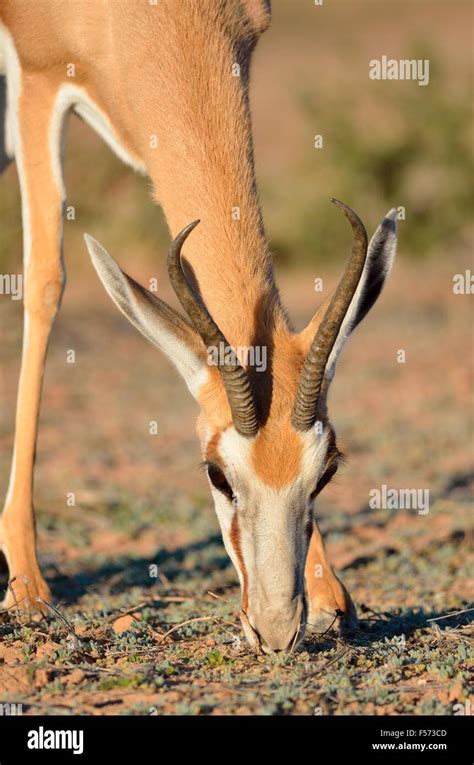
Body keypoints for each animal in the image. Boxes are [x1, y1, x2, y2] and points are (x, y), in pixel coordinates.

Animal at [0, 2, 396, 652]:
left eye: (327, 472)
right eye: (215, 474)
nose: (275, 629)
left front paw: (332, 600)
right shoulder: (39, 81)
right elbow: (44, 281)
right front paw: (29, 588)